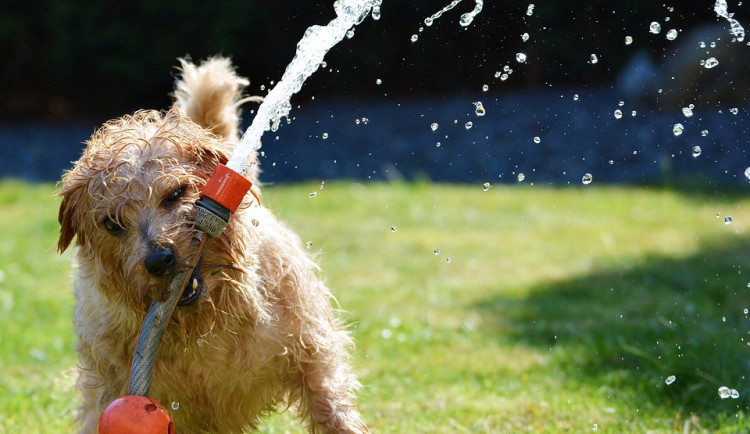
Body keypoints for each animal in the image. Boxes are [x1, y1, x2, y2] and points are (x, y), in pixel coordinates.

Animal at [57, 56, 368, 430]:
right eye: (112, 224)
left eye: (176, 193)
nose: (160, 259)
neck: (206, 323)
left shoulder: (312, 356)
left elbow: (331, 407)